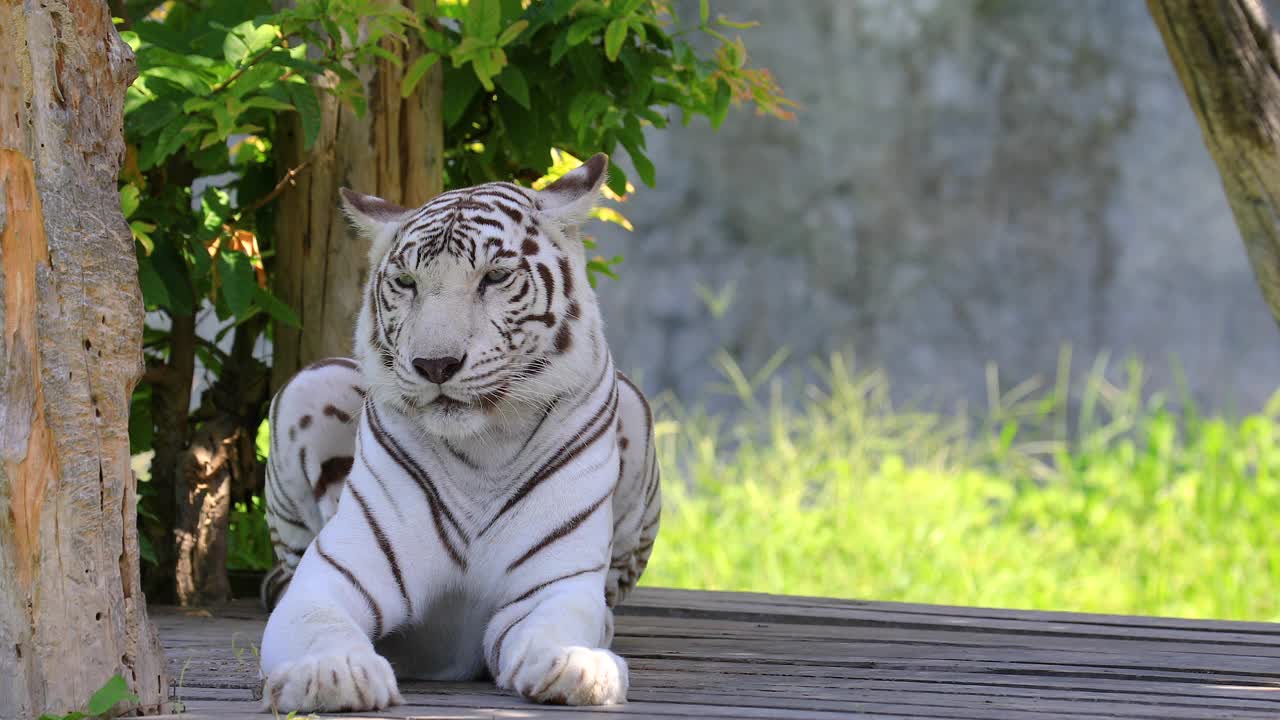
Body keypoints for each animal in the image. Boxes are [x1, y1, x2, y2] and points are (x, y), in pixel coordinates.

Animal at [256, 154, 665, 707]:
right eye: (407, 282)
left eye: (494, 277)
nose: (435, 365)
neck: (484, 452)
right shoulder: (335, 574)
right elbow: (319, 622)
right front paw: (332, 674)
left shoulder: (552, 586)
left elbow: (559, 626)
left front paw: (577, 667)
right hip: (308, 385)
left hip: (638, 416)